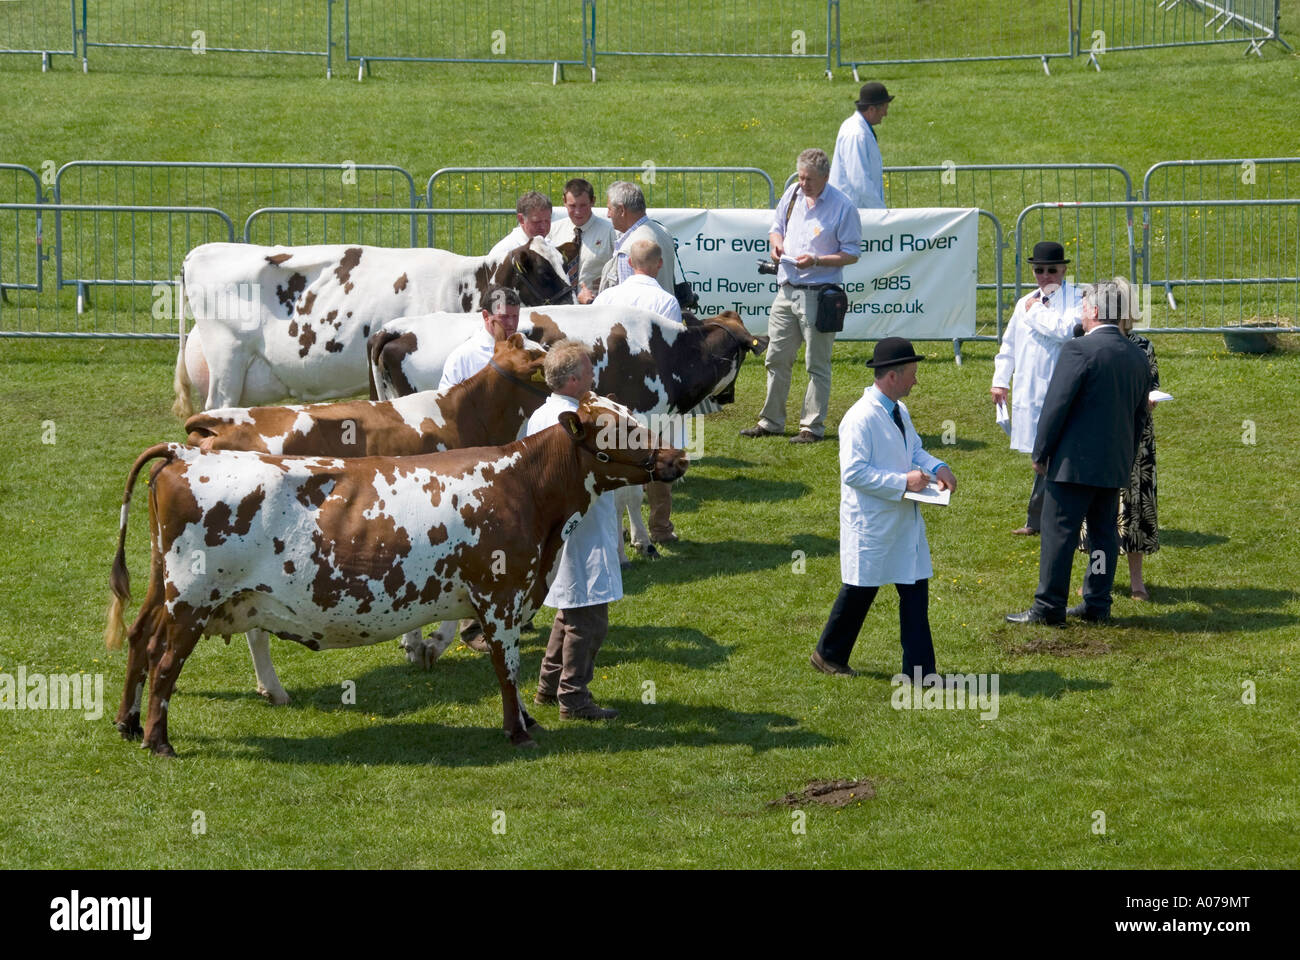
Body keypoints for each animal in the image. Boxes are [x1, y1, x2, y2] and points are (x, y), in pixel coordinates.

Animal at [105, 392, 686, 749]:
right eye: (619, 431)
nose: (677, 457)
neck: (524, 486)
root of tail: (184, 454)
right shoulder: (500, 597)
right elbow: (507, 667)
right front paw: (519, 730)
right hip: (193, 600)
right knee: (164, 662)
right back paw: (159, 741)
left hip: (165, 590)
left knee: (138, 639)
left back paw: (128, 723)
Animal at [172, 235, 574, 416]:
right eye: (543, 273)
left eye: (565, 266)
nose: (574, 304)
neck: (463, 286)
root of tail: (199, 252)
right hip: (227, 361)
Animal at [182, 335, 548, 702]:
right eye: (544, 361)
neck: (462, 415)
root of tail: (214, 423)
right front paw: (431, 645)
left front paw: (413, 644)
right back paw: (274, 689)